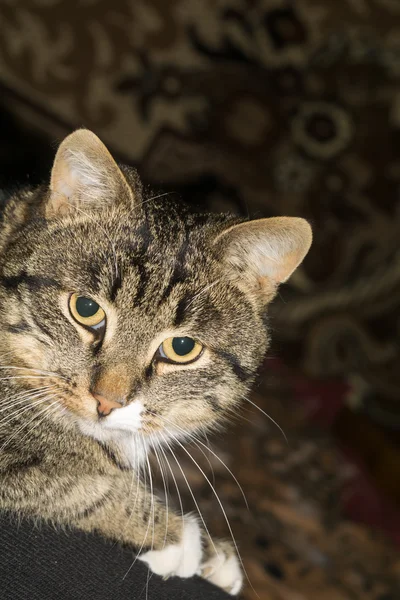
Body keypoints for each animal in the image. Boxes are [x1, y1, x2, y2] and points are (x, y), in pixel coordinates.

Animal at [0, 129, 310, 592]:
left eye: (182, 348)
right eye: (86, 308)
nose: (107, 402)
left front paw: (213, 556)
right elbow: (59, 466)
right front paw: (173, 534)